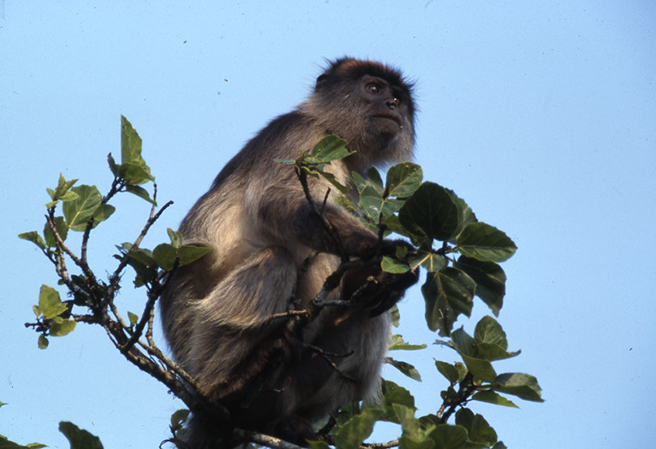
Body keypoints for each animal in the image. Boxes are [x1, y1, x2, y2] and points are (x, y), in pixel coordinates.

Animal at [161, 57, 422, 446]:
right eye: (374, 88)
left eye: (399, 98)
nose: (391, 104)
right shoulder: (300, 134)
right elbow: (276, 201)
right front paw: (384, 249)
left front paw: (384, 274)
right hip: (194, 347)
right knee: (276, 259)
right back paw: (227, 388)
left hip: (289, 385)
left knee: (371, 310)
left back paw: (289, 423)